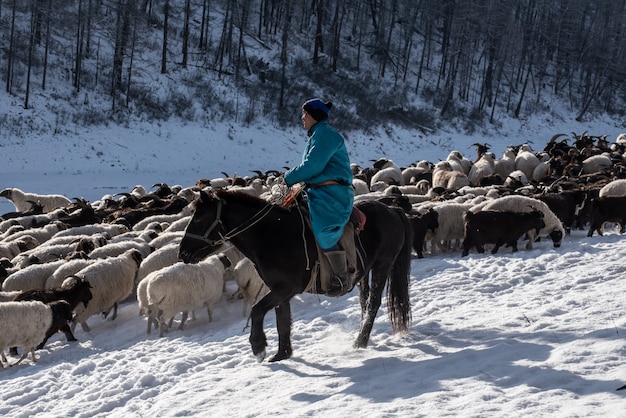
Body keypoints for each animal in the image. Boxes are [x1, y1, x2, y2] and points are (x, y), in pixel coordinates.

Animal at [178, 189, 412, 362]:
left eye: (199, 218)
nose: (182, 253)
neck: (272, 235)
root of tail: (392, 209)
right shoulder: (279, 291)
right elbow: (282, 320)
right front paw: (282, 354)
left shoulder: (285, 289)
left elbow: (257, 310)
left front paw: (258, 346)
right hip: (365, 271)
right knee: (365, 302)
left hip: (383, 265)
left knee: (373, 303)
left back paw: (360, 341)